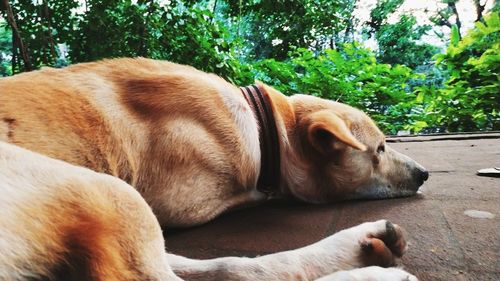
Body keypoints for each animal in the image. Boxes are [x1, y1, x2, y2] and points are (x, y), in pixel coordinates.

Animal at [0, 58, 426, 278]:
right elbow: (256, 196)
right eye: (380, 148)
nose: (424, 173)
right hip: (116, 194)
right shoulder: (182, 205)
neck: (263, 124)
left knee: (233, 267)